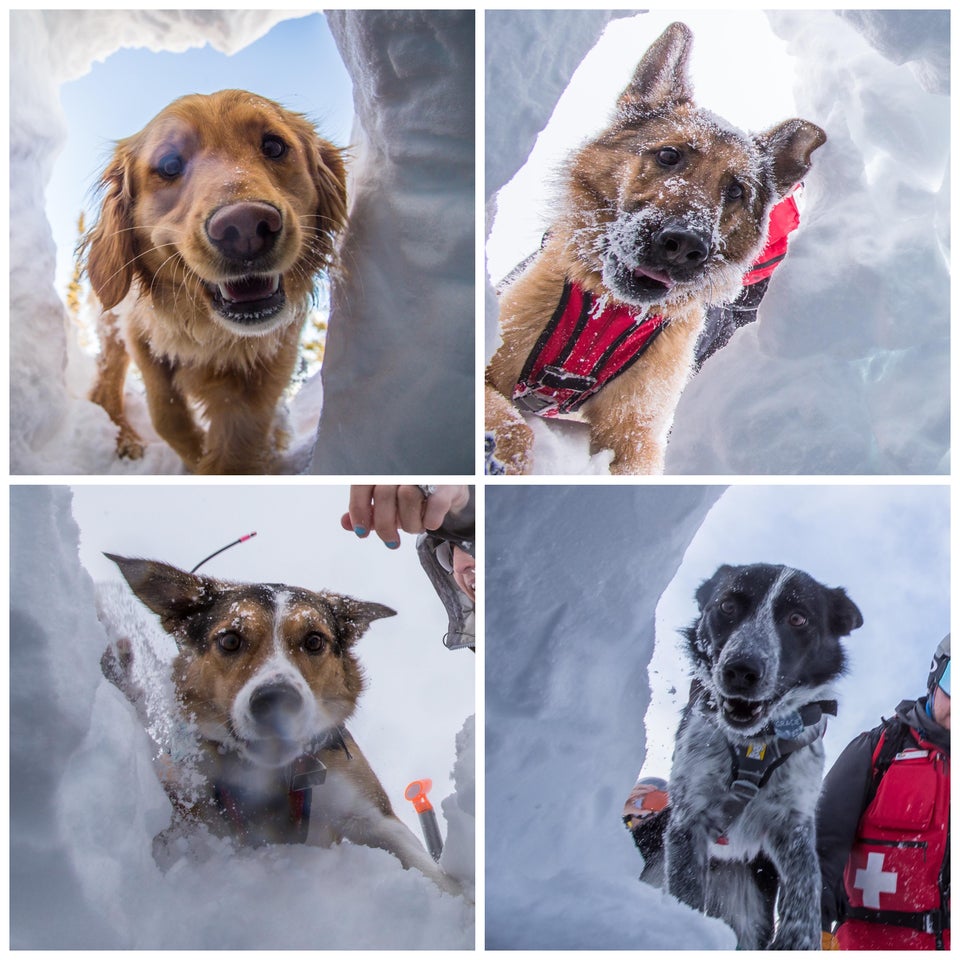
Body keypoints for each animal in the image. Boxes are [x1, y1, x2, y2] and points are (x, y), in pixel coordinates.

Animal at [81, 92, 344, 474]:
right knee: (106, 384)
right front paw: (197, 456)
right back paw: (126, 439)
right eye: (169, 165)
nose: (245, 226)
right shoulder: (140, 331)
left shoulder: (273, 357)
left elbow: (239, 441)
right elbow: (166, 411)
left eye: (274, 146)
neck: (213, 335)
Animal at [99, 552, 460, 896]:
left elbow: (433, 874)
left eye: (314, 640)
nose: (276, 700)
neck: (272, 777)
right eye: (230, 640)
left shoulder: (369, 811)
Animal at [488, 21, 824, 472]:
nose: (684, 245)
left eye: (736, 191)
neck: (608, 310)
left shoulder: (637, 434)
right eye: (669, 155)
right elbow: (514, 424)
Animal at [668, 568, 864, 948]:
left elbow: (807, 884)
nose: (741, 670)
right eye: (727, 606)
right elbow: (684, 892)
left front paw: (800, 938)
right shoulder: (689, 815)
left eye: (798, 618)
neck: (754, 745)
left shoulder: (793, 822)